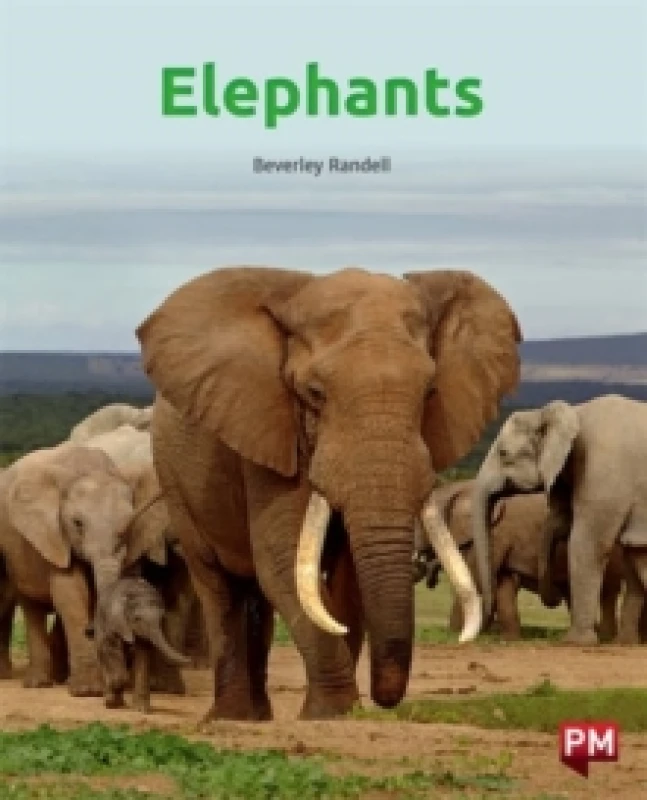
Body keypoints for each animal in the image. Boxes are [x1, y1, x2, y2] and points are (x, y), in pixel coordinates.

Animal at [0, 442, 157, 694]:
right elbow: (70, 593)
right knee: (30, 604)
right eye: (77, 523)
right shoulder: (57, 536)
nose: (91, 630)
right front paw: (88, 691)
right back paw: (39, 684)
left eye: (129, 523)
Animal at [86, 576, 190, 712]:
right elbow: (112, 648)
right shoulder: (114, 621)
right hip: (99, 622)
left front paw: (142, 710)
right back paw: (111, 702)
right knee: (104, 655)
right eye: (137, 619)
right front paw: (111, 701)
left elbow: (143, 655)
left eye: (161, 619)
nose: (191, 659)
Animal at [135, 265, 522, 720]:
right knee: (218, 585)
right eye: (314, 394)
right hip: (174, 480)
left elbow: (346, 574)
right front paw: (333, 712)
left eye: (429, 393)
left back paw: (260, 716)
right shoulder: (269, 430)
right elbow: (283, 557)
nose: (383, 700)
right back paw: (231, 717)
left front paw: (337, 713)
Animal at [415, 479, 630, 641]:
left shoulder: (495, 533)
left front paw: (453, 635)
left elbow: (477, 579)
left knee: (607, 592)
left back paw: (605, 637)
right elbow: (503, 583)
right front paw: (510, 640)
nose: (429, 576)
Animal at [471, 394, 647, 645]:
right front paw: (623, 645)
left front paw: (575, 642)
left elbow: (587, 544)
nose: (486, 630)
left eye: (504, 453)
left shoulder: (603, 474)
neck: (574, 412)